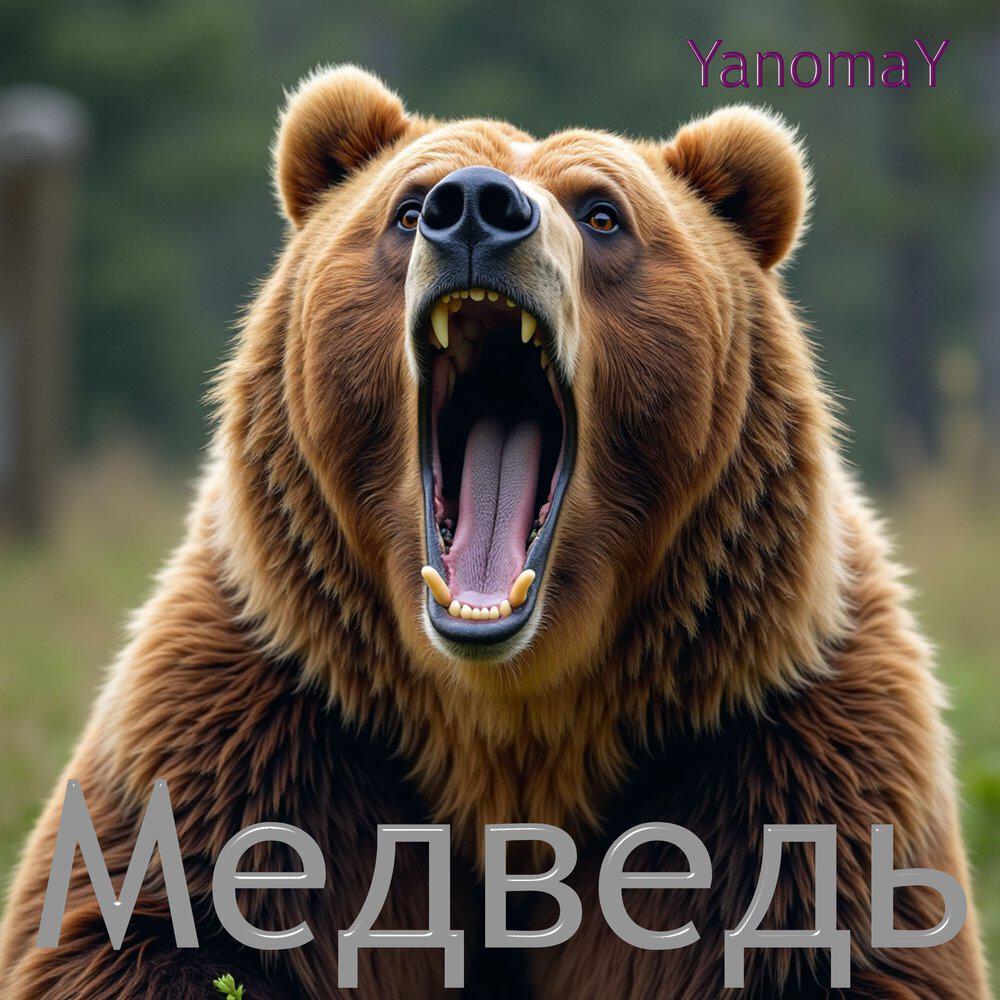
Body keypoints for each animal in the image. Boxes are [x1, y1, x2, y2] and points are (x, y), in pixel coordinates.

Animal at [0, 65, 989, 999]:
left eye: (602, 213)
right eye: (407, 208)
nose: (476, 206)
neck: (507, 726)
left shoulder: (768, 753)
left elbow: (822, 943)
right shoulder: (266, 730)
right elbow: (148, 929)